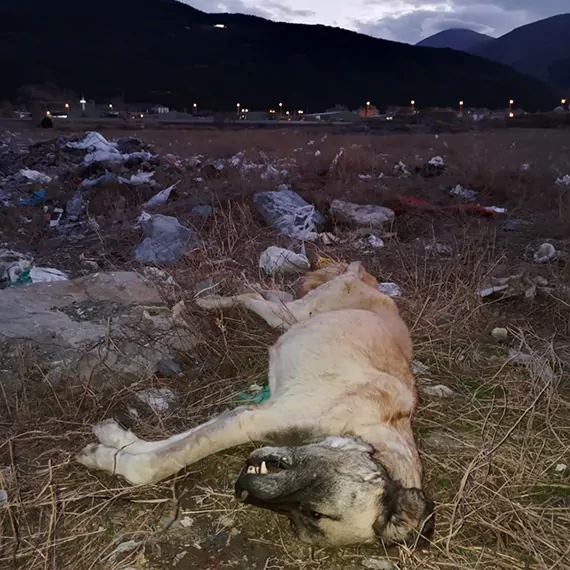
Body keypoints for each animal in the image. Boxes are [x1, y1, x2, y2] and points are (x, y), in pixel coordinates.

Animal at [75, 260, 430, 544]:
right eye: (315, 512)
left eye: (302, 518)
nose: (243, 489)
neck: (374, 427)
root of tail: (370, 281)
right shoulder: (253, 420)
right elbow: (164, 461)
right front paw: (116, 460)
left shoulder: (248, 415)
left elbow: (173, 444)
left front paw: (114, 443)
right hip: (299, 311)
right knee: (254, 296)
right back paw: (208, 300)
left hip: (290, 317)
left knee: (269, 295)